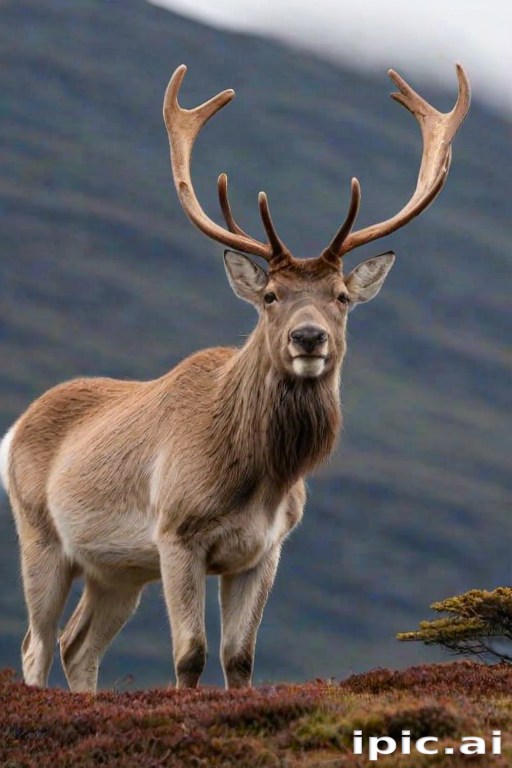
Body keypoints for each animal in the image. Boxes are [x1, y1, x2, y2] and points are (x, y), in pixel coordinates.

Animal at [0, 63, 470, 693]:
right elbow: (190, 655)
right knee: (35, 645)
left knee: (77, 645)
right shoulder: (176, 534)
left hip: (119, 569)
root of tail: (15, 429)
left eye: (341, 297)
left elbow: (240, 659)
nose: (308, 338)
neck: (258, 479)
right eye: (270, 295)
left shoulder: (264, 551)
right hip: (41, 536)